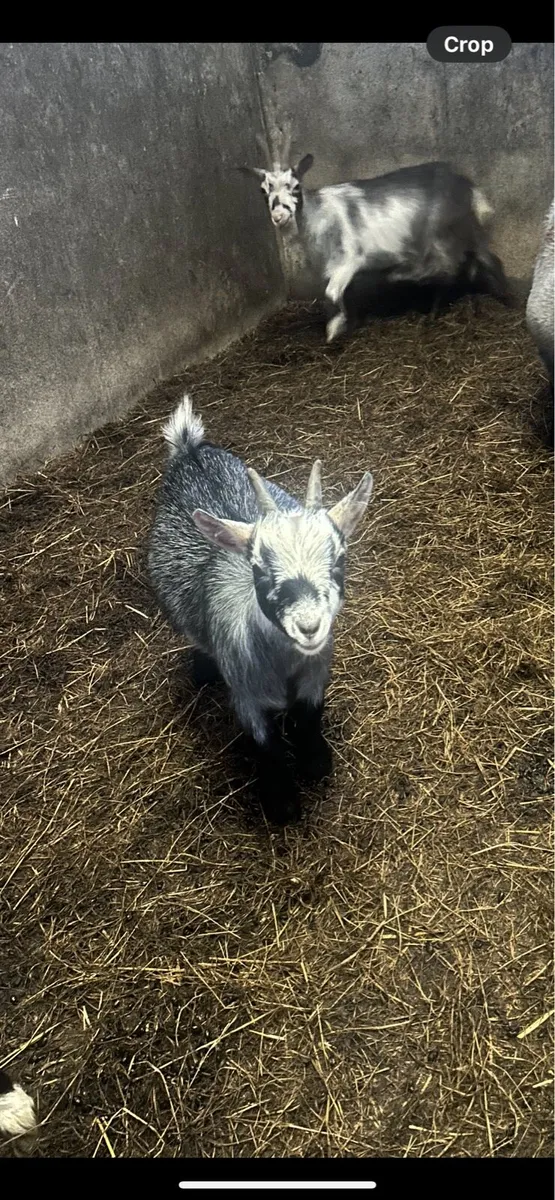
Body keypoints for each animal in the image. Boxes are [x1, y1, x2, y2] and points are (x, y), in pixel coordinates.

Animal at [148, 396, 373, 824]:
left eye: (339, 558)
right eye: (258, 566)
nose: (309, 626)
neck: (284, 666)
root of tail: (190, 452)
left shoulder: (315, 679)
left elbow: (309, 719)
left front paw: (315, 762)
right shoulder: (246, 696)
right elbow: (264, 743)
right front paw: (281, 801)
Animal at [240, 152, 512, 342]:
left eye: (295, 186)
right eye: (263, 191)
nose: (278, 217)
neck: (318, 215)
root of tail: (468, 186)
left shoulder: (349, 260)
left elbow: (331, 294)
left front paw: (334, 329)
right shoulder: (333, 267)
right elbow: (340, 294)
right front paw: (348, 320)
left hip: (443, 235)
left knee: (454, 268)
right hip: (462, 232)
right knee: (478, 262)